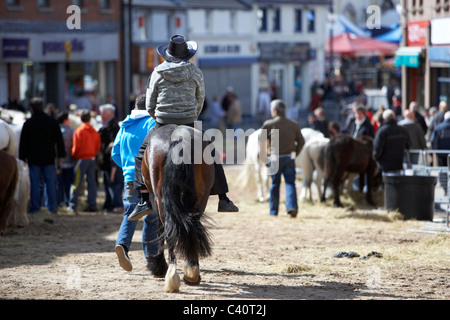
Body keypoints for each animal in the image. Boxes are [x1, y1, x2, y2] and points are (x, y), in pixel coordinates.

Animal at [141, 124, 214, 292]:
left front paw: (158, 266)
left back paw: (172, 275)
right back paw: (192, 272)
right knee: (192, 227)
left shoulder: (156, 200)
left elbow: (160, 229)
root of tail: (179, 138)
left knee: (169, 231)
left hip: (161, 198)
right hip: (200, 198)